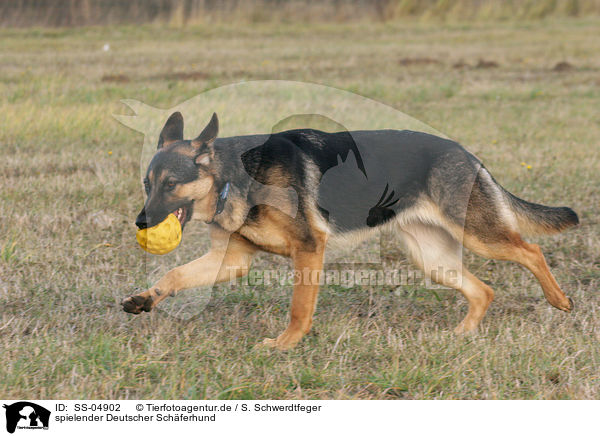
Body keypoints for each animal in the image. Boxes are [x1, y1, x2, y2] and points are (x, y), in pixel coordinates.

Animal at [124, 112, 580, 350]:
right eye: (148, 184)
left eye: (170, 184)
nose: (141, 224)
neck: (233, 176)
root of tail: (466, 153)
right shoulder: (230, 260)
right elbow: (174, 275)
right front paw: (145, 299)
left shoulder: (309, 249)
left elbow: (299, 308)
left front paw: (285, 344)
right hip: (431, 259)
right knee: (483, 290)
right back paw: (461, 335)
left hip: (478, 235)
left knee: (531, 251)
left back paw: (559, 300)